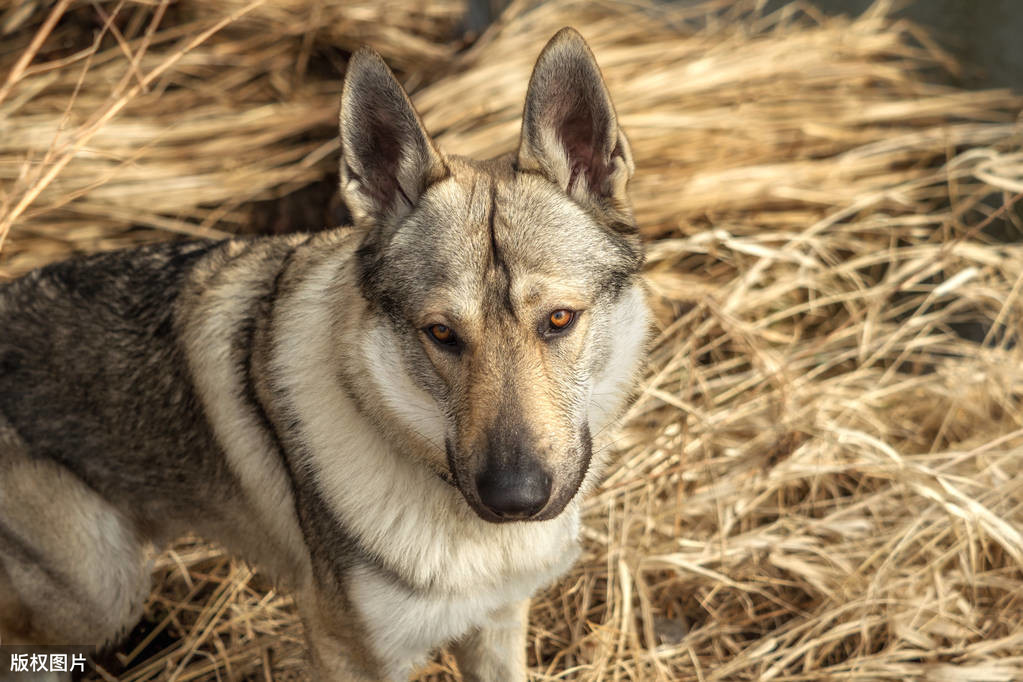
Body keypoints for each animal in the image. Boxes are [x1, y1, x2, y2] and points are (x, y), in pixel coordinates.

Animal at [0, 27, 650, 682]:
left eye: (559, 320)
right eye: (441, 334)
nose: (514, 498)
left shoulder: (497, 623)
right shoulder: (349, 651)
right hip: (104, 589)